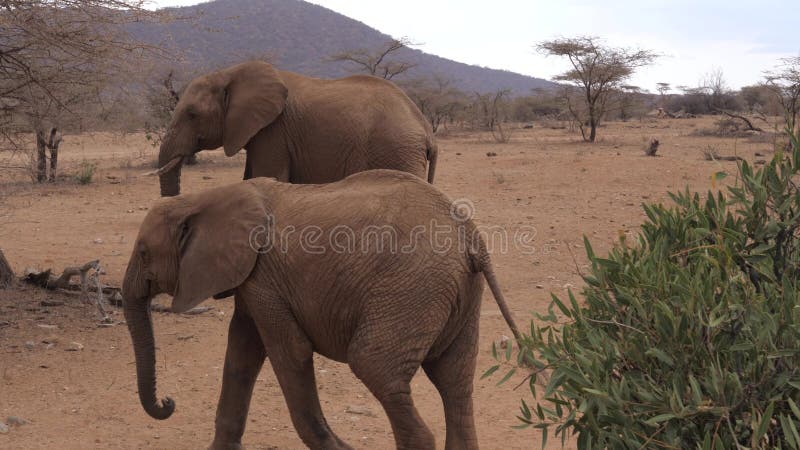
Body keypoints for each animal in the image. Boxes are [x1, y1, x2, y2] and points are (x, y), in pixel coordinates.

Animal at [124, 170, 520, 450]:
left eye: (143, 253)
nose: (168, 401)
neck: (204, 199)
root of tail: (471, 235)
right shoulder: (255, 279)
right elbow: (242, 352)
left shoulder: (265, 278)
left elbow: (289, 353)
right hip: (457, 295)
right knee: (455, 380)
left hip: (413, 289)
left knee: (375, 367)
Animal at [153, 60, 440, 197]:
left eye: (192, 115)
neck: (230, 73)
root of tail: (426, 129)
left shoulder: (274, 131)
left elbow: (267, 177)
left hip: (397, 149)